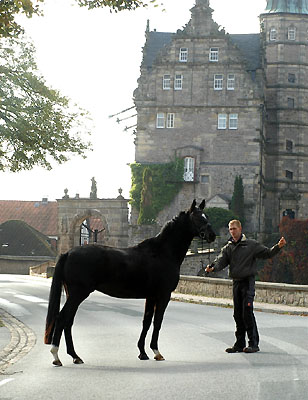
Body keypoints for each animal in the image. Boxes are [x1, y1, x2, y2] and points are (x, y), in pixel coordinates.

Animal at [44, 200, 215, 366]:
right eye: (197, 218)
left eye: (206, 216)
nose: (212, 236)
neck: (162, 253)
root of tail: (68, 253)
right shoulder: (163, 295)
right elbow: (157, 322)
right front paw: (156, 352)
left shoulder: (151, 296)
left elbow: (146, 321)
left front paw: (143, 352)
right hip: (78, 294)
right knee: (62, 319)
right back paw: (56, 356)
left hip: (73, 294)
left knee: (68, 322)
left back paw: (75, 356)